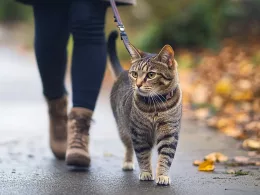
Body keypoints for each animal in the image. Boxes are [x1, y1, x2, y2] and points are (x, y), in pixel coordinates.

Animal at [108, 31, 182, 185]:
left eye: (151, 75)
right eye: (135, 74)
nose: (138, 84)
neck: (156, 105)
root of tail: (122, 72)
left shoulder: (169, 132)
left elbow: (165, 157)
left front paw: (162, 175)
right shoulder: (139, 133)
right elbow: (142, 155)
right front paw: (147, 172)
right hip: (123, 128)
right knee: (128, 146)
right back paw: (128, 162)